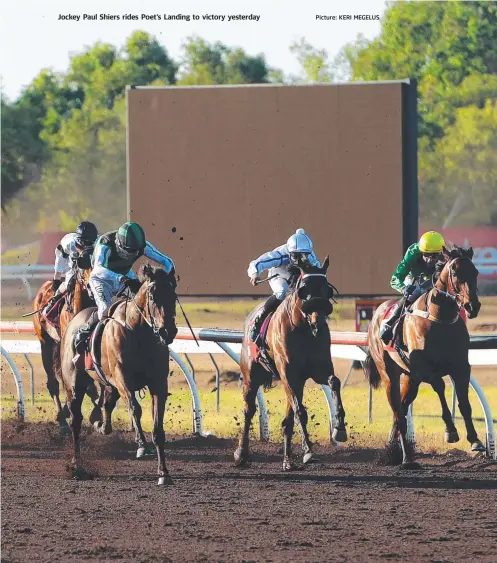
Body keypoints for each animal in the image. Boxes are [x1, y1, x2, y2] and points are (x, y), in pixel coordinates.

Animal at [59, 264, 178, 484]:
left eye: (173, 296)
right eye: (153, 296)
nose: (168, 332)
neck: (139, 332)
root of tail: (75, 318)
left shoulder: (158, 384)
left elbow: (158, 428)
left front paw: (163, 473)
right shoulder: (123, 379)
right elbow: (135, 408)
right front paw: (142, 445)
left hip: (108, 385)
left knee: (106, 404)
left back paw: (100, 425)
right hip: (74, 385)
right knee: (75, 420)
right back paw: (76, 466)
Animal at [234, 258, 346, 472]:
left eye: (327, 290)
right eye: (304, 289)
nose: (318, 323)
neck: (303, 329)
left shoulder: (318, 370)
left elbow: (334, 382)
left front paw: (340, 429)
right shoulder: (289, 375)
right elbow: (300, 412)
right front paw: (309, 451)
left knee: (287, 420)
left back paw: (287, 461)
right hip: (251, 378)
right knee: (248, 411)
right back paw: (241, 454)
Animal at [362, 245, 482, 470]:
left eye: (476, 272)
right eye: (455, 273)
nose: (473, 306)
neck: (440, 319)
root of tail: (376, 314)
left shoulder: (461, 367)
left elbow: (464, 404)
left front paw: (475, 441)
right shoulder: (424, 369)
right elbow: (441, 387)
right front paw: (451, 431)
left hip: (411, 380)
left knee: (399, 410)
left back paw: (392, 451)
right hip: (389, 375)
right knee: (398, 413)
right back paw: (406, 459)